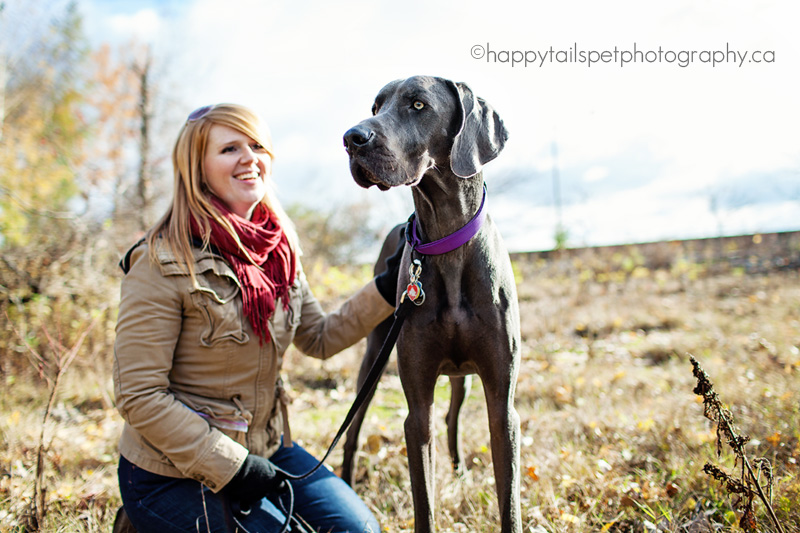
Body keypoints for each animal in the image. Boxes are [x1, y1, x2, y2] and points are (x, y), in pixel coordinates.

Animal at [344, 76, 524, 532]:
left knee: (453, 417)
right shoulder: (416, 412)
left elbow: (509, 501)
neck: (445, 240)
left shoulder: (503, 407)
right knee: (352, 433)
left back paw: (459, 471)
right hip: (373, 361)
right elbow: (423, 502)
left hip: (464, 378)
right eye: (375, 106)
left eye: (418, 104)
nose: (352, 138)